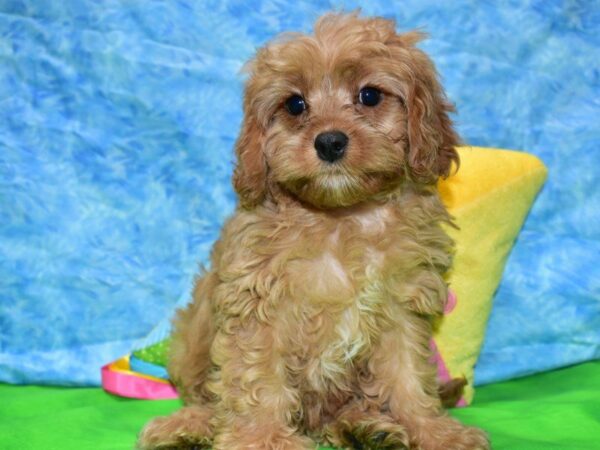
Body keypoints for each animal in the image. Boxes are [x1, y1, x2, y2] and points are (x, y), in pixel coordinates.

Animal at [138, 12, 490, 448]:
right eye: (295, 104)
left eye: (369, 96)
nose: (330, 142)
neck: (342, 218)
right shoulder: (259, 301)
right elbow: (257, 376)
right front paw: (262, 438)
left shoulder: (401, 306)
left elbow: (406, 374)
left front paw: (432, 429)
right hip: (191, 339)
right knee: (206, 396)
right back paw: (188, 426)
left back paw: (366, 428)